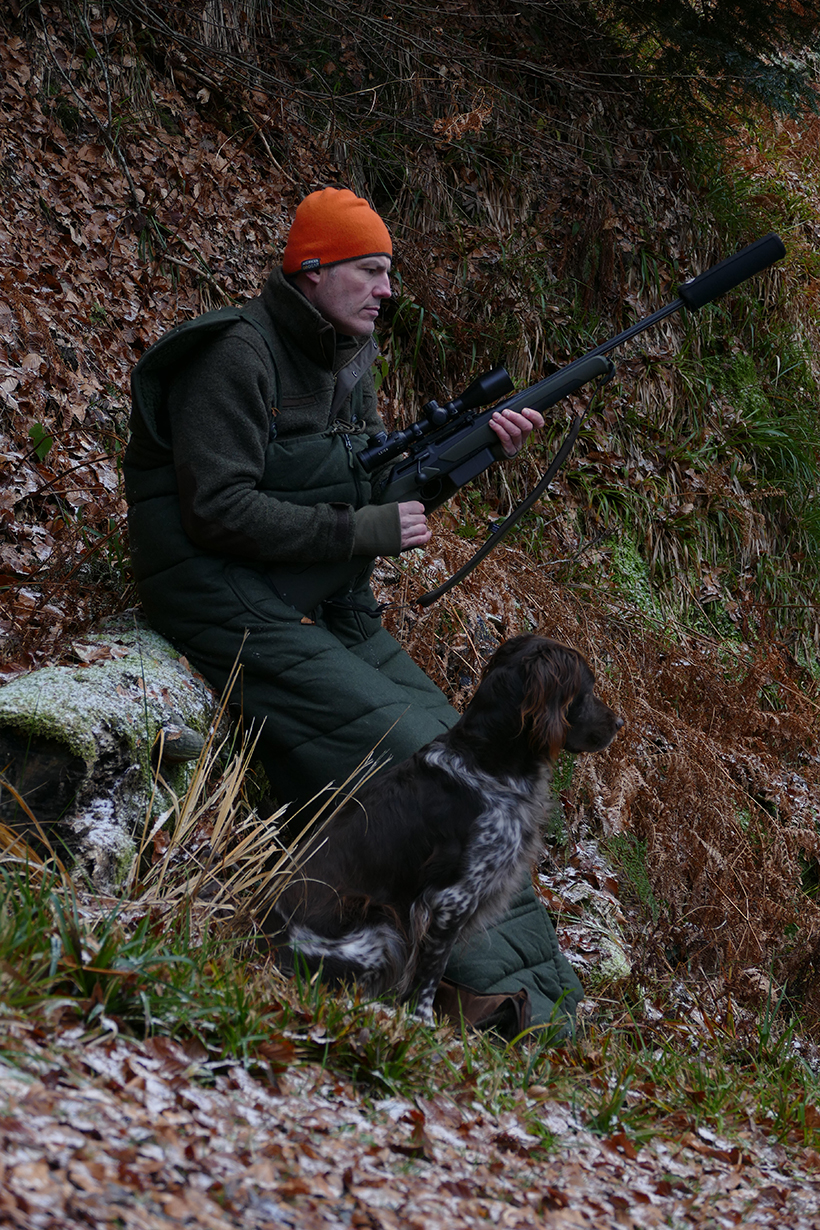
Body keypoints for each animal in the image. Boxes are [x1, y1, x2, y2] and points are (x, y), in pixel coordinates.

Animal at [263, 634, 622, 1018]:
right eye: (587, 689)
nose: (620, 723)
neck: (487, 762)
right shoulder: (450, 899)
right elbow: (430, 973)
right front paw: (422, 1021)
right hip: (379, 924)